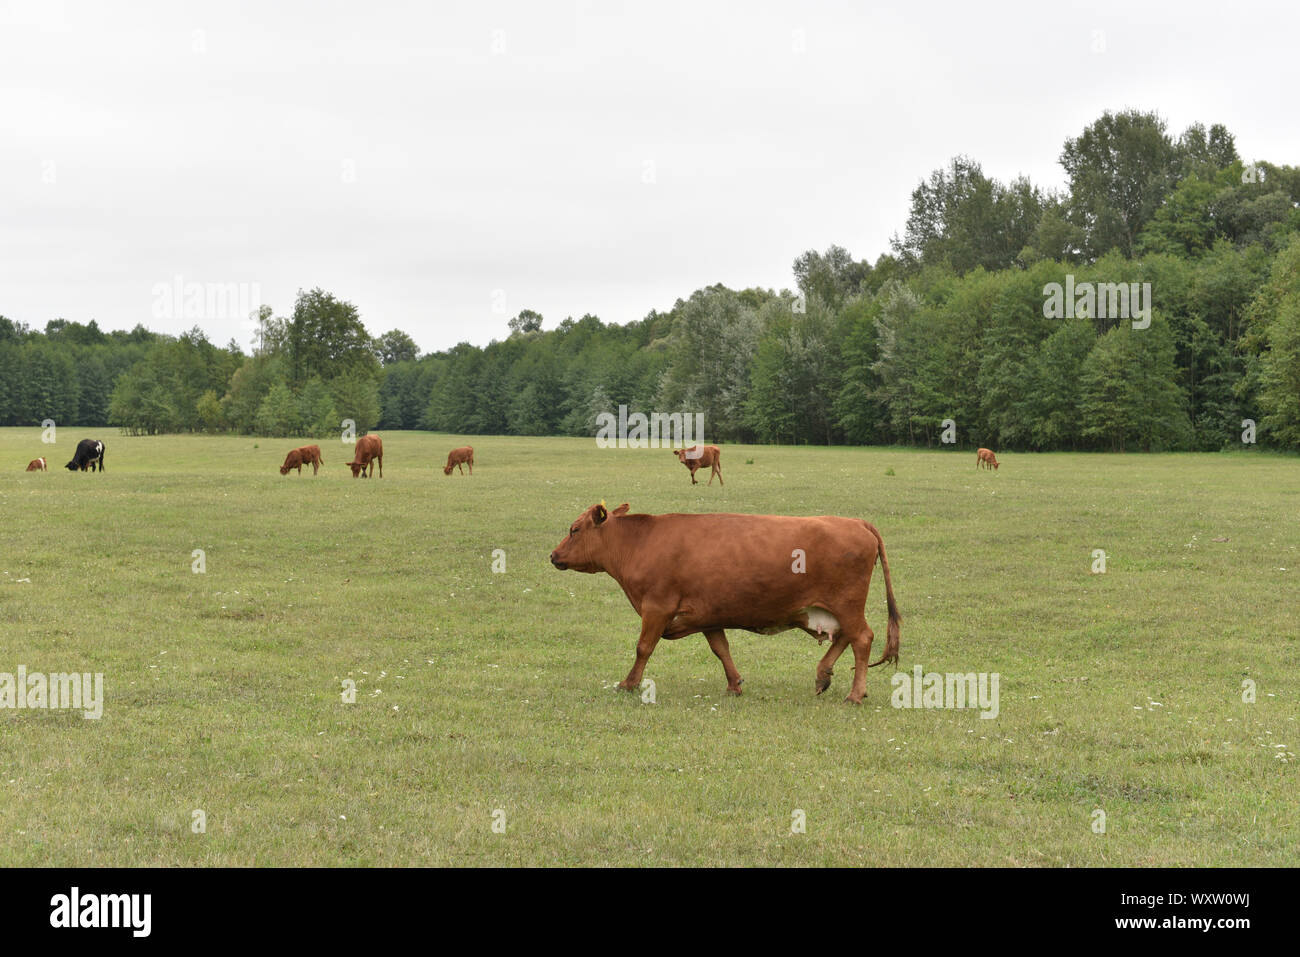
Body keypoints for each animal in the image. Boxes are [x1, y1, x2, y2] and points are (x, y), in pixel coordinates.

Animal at [546, 501, 894, 702]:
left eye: (574, 529)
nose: (553, 555)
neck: (640, 543)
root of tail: (856, 522)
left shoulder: (657, 607)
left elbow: (643, 647)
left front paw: (628, 684)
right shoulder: (707, 615)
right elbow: (721, 649)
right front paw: (734, 684)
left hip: (847, 605)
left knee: (862, 638)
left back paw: (855, 693)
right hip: (835, 608)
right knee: (847, 638)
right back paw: (823, 675)